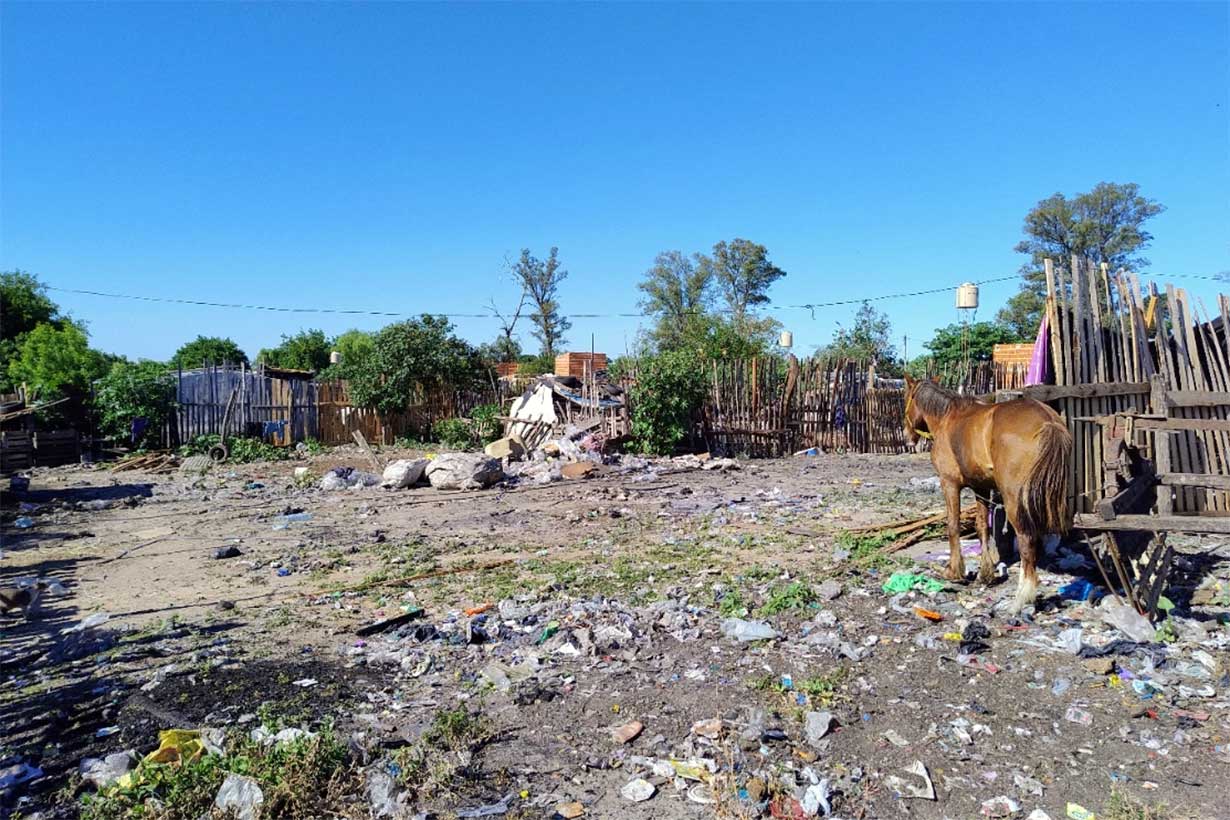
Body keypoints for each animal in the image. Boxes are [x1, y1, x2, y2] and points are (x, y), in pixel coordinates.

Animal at [905, 376, 1067, 612]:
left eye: (906, 398)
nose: (907, 437)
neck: (947, 418)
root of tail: (1048, 420)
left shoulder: (949, 484)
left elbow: (953, 526)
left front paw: (954, 571)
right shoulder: (980, 488)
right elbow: (982, 527)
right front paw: (985, 573)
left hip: (1014, 500)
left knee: (1027, 540)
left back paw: (1021, 597)